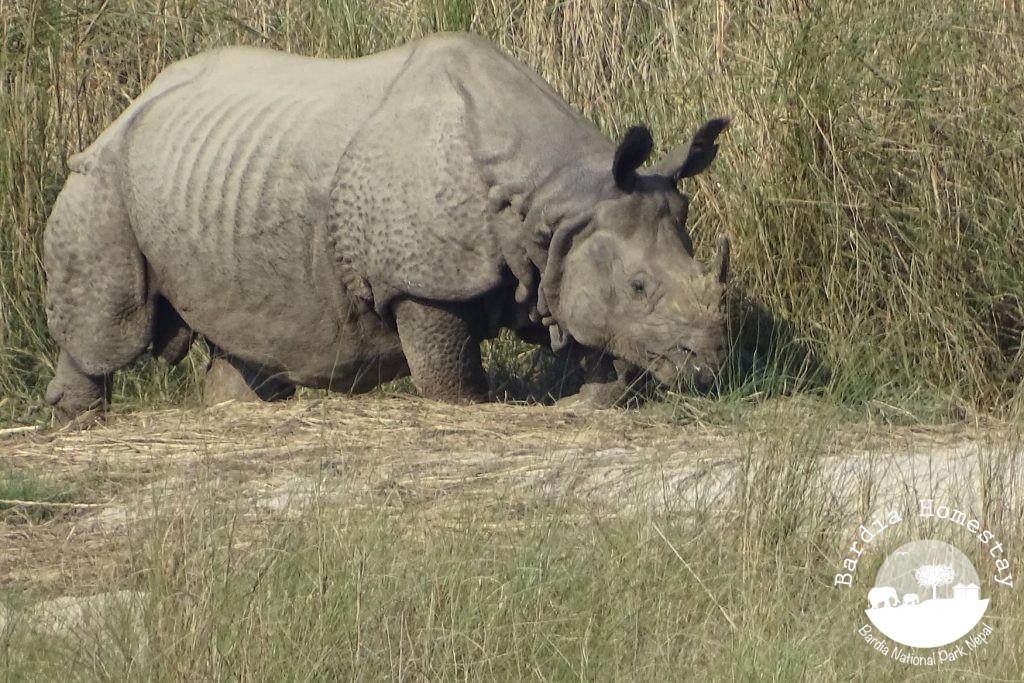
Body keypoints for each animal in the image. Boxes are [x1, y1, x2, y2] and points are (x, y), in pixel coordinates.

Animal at [43, 33, 731, 422]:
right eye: (639, 287)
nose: (709, 368)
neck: (556, 198)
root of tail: (130, 106)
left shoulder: (568, 249)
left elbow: (601, 337)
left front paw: (590, 403)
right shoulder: (422, 281)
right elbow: (447, 373)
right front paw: (468, 409)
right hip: (103, 181)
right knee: (112, 325)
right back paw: (78, 423)